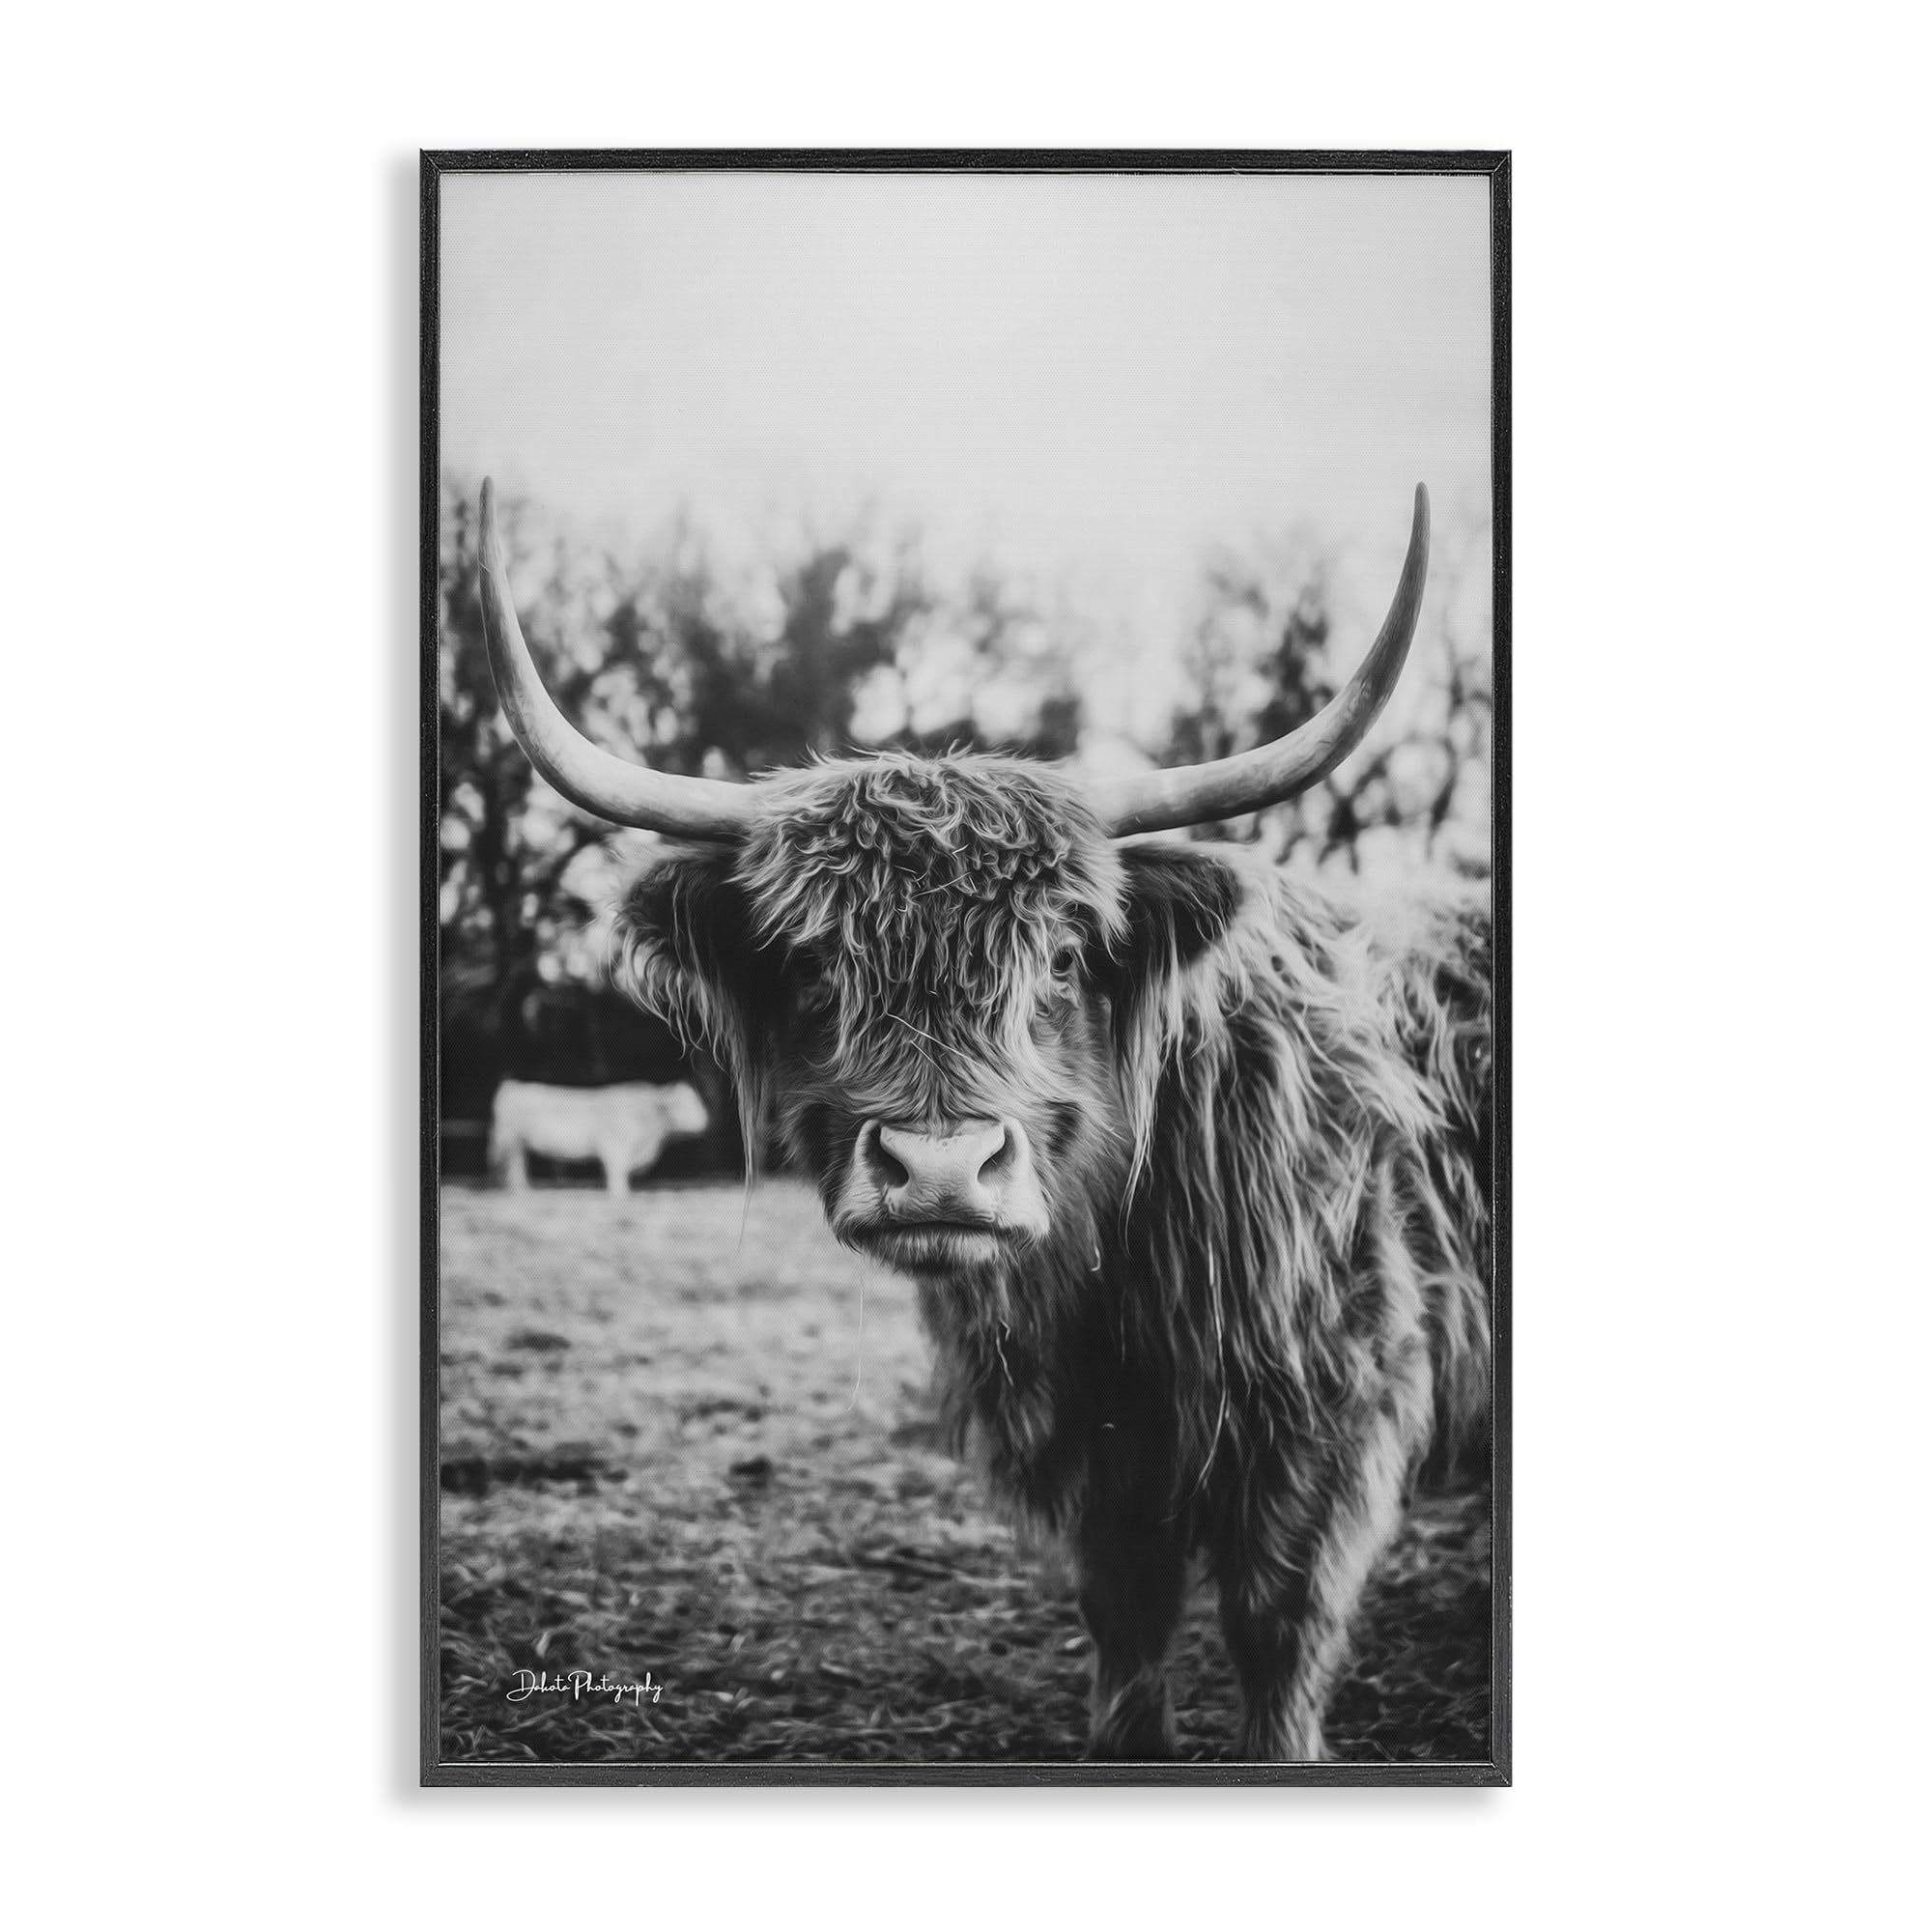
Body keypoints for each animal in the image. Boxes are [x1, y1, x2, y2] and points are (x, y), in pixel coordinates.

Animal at [487, 1078, 709, 1197]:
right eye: (682, 1104)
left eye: (696, 1101)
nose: (705, 1121)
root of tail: (513, 1086)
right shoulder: (615, 1148)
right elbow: (617, 1175)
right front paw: (620, 1196)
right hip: (511, 1141)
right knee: (513, 1166)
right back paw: (521, 1191)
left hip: (518, 1143)